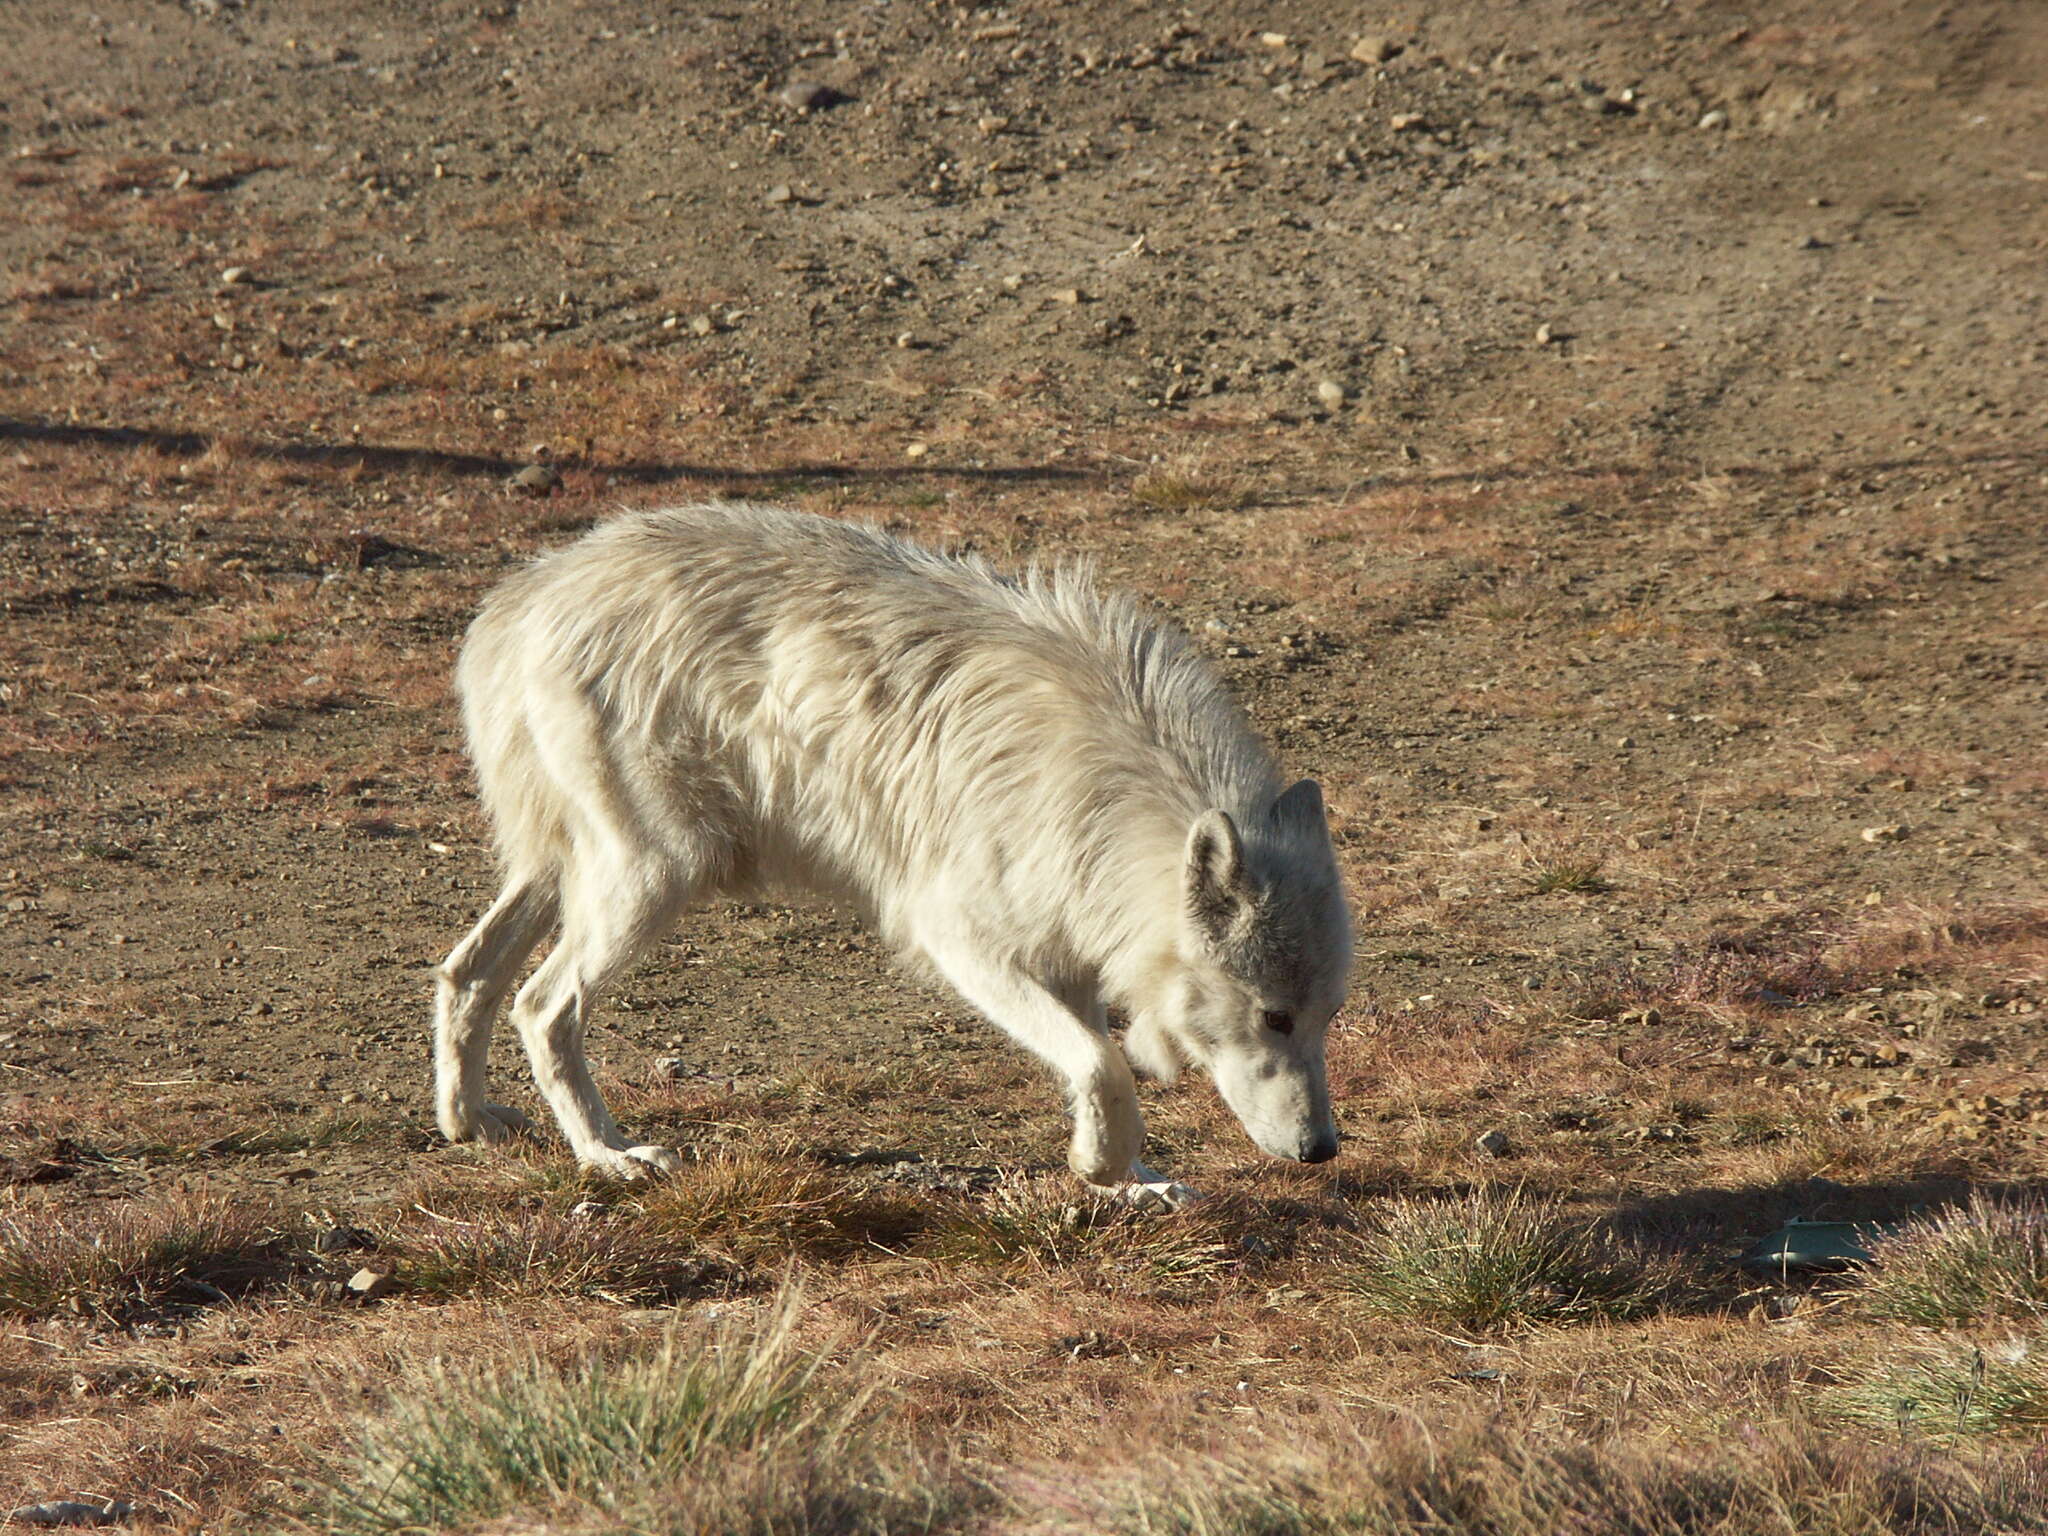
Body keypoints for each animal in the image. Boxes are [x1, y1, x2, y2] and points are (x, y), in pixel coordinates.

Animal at [436, 501, 1343, 1204]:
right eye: (1274, 1017)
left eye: (1328, 1018)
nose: (1323, 1151)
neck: (1103, 795)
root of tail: (527, 593)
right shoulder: (961, 940)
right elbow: (1103, 1065)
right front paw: (1104, 1166)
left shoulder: (1073, 952)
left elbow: (1095, 1066)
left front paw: (1130, 1179)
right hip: (655, 877)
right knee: (540, 1004)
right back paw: (609, 1155)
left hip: (565, 872)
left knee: (465, 970)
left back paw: (469, 1121)